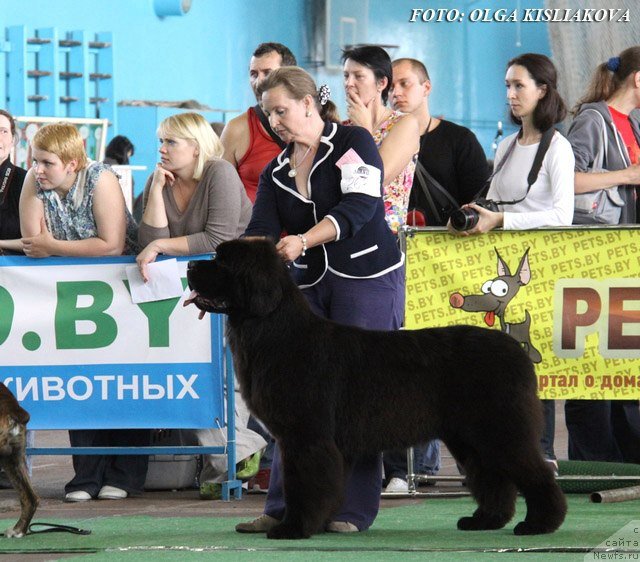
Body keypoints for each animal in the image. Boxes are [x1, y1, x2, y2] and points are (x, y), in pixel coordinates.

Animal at [188, 238, 568, 536]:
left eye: (222, 261)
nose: (190, 263)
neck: (276, 332)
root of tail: (513, 348)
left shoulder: (306, 436)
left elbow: (304, 484)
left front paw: (293, 528)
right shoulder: (299, 438)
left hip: (500, 429)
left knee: (534, 472)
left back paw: (540, 524)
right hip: (470, 436)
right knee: (492, 476)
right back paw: (485, 520)